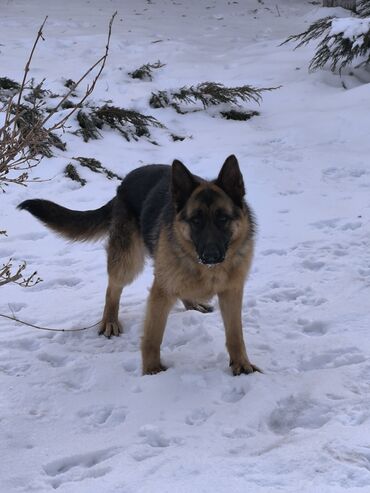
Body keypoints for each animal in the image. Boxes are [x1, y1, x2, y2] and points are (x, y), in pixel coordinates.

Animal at [18, 156, 260, 374]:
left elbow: (235, 334)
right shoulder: (159, 294)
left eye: (223, 219)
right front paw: (152, 371)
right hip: (128, 262)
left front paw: (241, 364)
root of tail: (124, 183)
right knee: (113, 289)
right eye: (196, 221)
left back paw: (192, 303)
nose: (211, 256)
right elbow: (153, 337)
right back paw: (110, 320)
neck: (206, 270)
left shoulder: (232, 292)